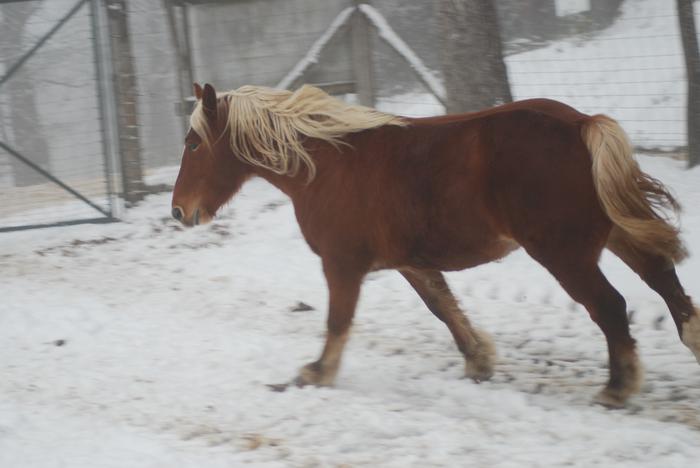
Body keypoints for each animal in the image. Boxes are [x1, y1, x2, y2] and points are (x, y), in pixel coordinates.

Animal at [171, 83, 700, 406]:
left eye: (193, 143)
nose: (178, 211)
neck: (324, 166)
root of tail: (582, 123)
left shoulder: (343, 264)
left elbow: (338, 321)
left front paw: (315, 373)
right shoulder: (410, 263)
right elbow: (443, 307)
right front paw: (479, 361)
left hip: (564, 253)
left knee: (611, 306)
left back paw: (616, 388)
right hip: (612, 232)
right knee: (664, 281)